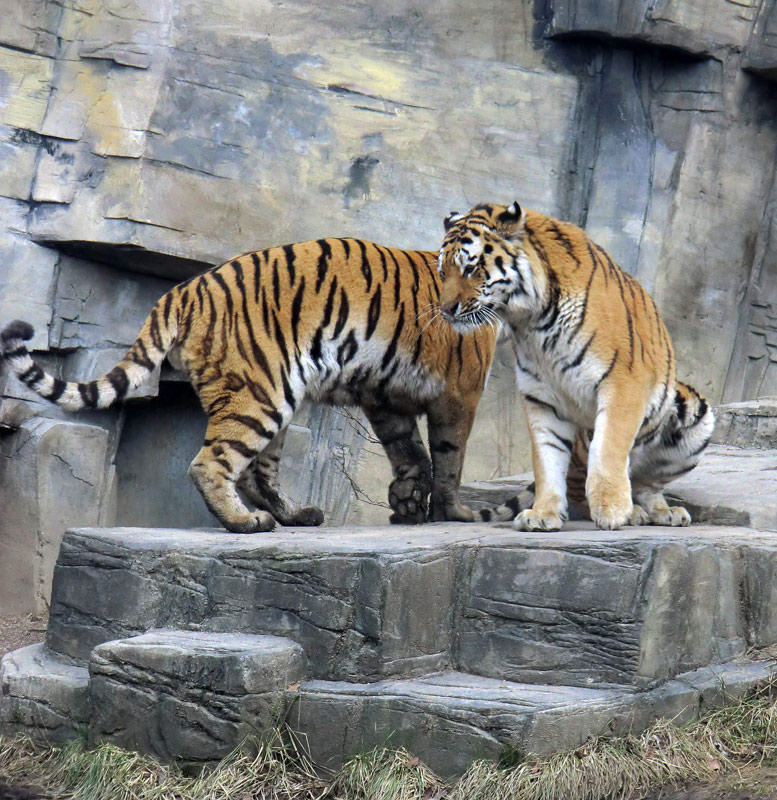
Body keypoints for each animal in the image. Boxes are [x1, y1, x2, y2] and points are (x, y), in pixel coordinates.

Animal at [0, 241, 494, 536]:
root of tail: (182, 290)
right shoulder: (461, 390)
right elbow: (450, 456)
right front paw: (453, 513)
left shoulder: (386, 396)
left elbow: (411, 452)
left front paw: (408, 505)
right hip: (258, 394)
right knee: (210, 465)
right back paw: (245, 522)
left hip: (275, 393)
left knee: (258, 473)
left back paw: (295, 515)